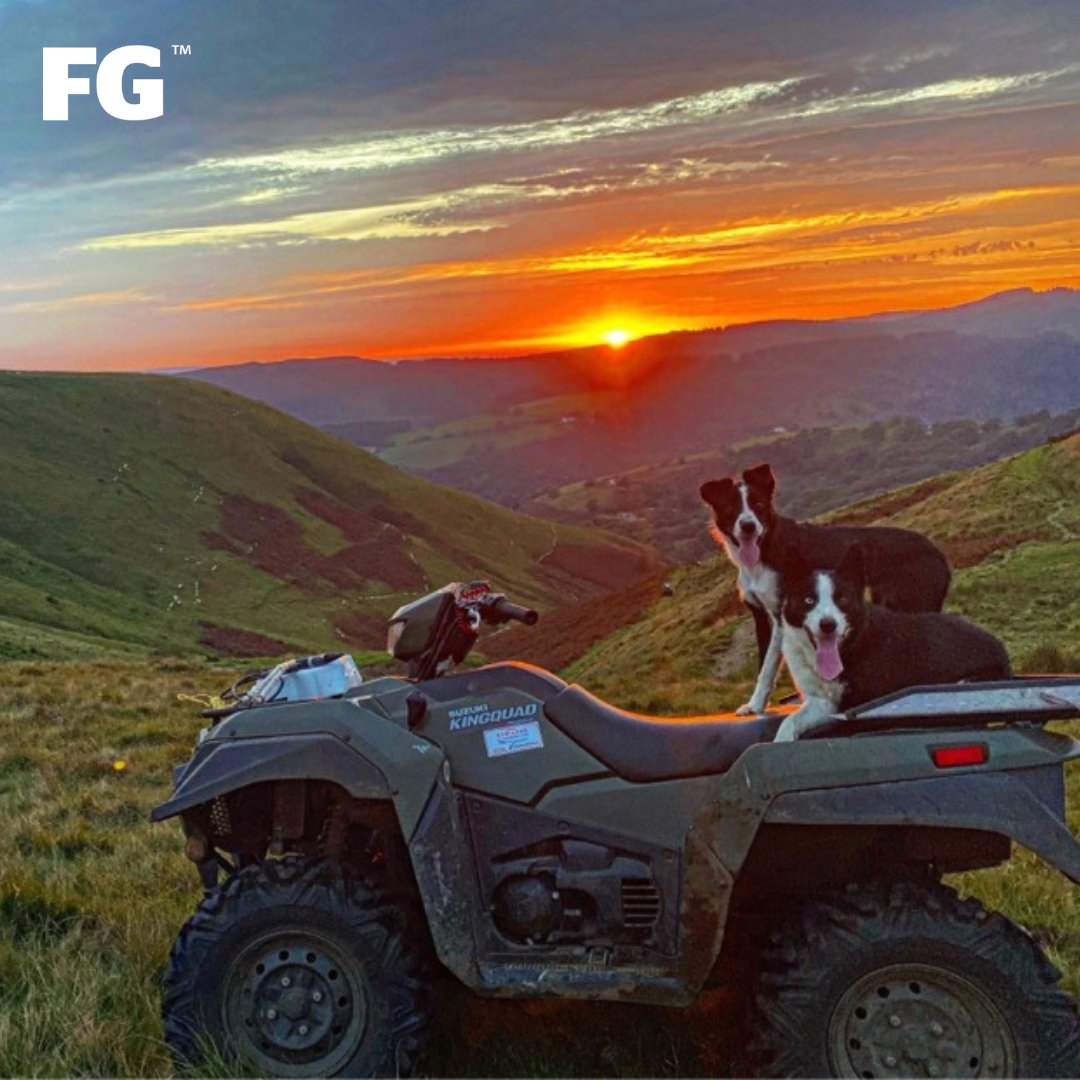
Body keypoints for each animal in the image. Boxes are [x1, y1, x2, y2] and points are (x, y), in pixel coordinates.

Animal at [699, 464, 946, 717]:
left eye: (758, 505)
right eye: (731, 508)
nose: (748, 525)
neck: (767, 546)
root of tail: (937, 552)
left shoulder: (781, 616)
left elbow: (768, 666)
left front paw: (759, 704)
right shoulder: (761, 617)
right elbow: (763, 665)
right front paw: (756, 704)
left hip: (908, 603)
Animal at [773, 540, 1006, 743]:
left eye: (842, 599)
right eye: (808, 600)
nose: (828, 625)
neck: (851, 645)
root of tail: (998, 645)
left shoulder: (854, 709)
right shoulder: (823, 703)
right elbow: (789, 721)